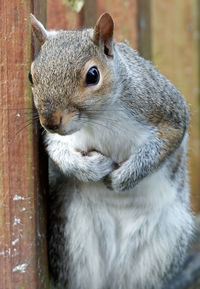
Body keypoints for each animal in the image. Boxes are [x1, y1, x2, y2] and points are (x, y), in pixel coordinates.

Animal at [30, 11, 194, 288]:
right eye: (32, 76)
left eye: (93, 75)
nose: (50, 121)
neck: (99, 117)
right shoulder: (58, 139)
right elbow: (61, 155)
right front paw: (93, 168)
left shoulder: (164, 109)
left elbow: (164, 144)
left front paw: (121, 178)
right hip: (72, 237)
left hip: (162, 246)